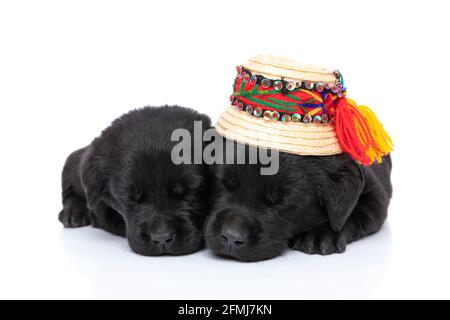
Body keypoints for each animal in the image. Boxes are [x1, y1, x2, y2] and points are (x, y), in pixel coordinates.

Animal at [206, 141, 392, 262]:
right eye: (223, 183)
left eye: (282, 200)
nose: (231, 237)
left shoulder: (375, 193)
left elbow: (350, 215)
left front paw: (320, 236)